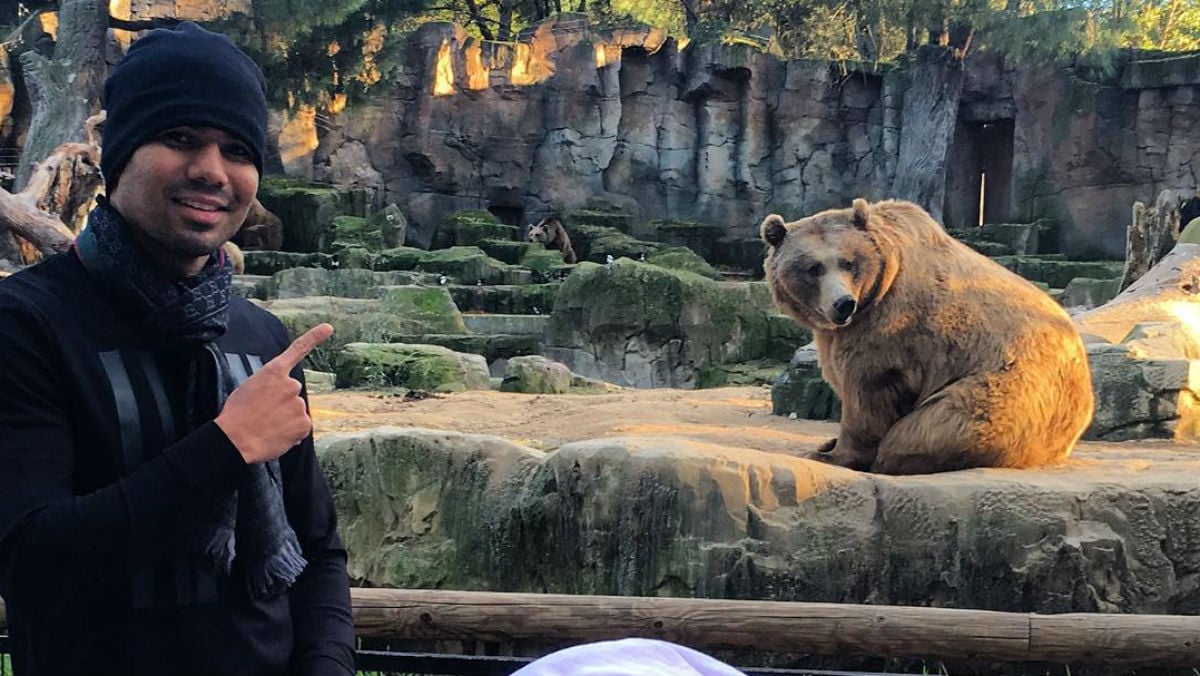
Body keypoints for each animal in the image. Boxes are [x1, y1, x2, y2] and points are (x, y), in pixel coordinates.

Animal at [763, 199, 1094, 475]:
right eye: (813, 268)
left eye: (848, 262)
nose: (843, 303)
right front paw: (827, 444)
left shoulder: (889, 326)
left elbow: (867, 390)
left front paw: (831, 454)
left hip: (1003, 393)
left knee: (932, 427)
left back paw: (893, 457)